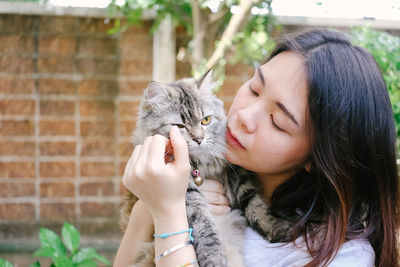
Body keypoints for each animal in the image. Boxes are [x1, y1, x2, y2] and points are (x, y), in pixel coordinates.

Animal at [120, 71, 292, 267]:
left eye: (206, 120)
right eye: (179, 126)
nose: (199, 139)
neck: (199, 164)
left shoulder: (236, 175)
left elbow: (254, 203)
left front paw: (276, 227)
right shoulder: (185, 193)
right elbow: (204, 224)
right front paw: (214, 257)